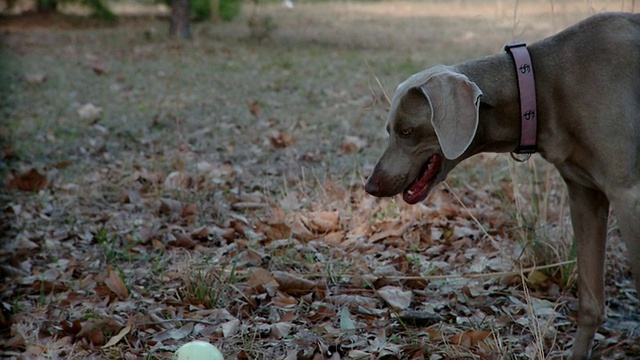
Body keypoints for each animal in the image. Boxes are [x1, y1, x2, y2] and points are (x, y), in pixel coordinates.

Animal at [364, 11, 640, 360]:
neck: (537, 88)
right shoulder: (584, 193)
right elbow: (590, 300)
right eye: (390, 130)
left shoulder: (628, 195)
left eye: (407, 131)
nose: (371, 186)